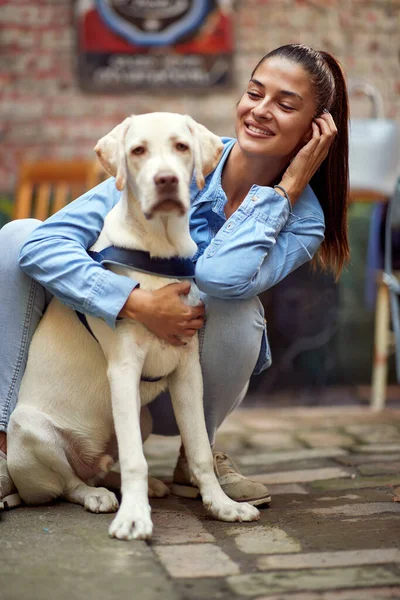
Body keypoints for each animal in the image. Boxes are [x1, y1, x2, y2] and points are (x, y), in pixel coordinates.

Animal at [8, 112, 262, 540]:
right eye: (138, 150)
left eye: (181, 146)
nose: (166, 180)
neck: (158, 251)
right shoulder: (124, 369)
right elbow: (134, 460)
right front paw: (133, 519)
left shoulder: (188, 370)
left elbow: (199, 449)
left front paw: (222, 506)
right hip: (29, 428)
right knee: (69, 484)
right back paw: (97, 497)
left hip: (141, 419)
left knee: (102, 468)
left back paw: (142, 487)